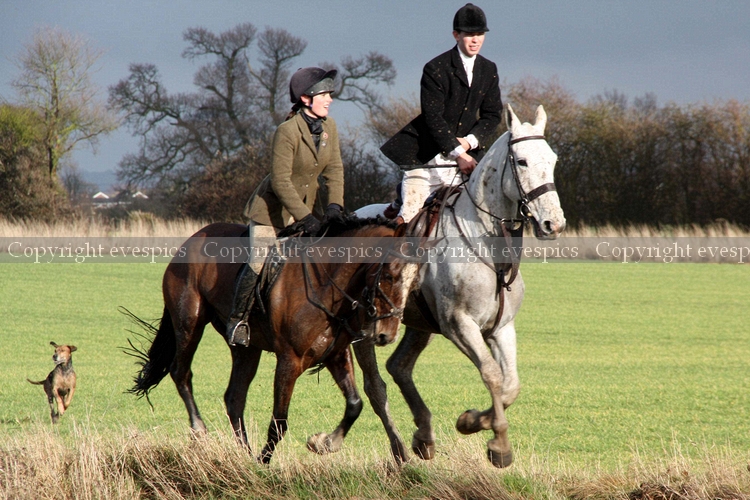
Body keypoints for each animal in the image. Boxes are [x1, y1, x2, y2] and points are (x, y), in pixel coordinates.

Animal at [125, 217, 416, 463]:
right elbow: (279, 422)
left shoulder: (336, 355)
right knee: (181, 372)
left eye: (413, 282)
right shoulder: (290, 360)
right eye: (389, 276)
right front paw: (264, 464)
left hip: (246, 348)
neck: (328, 284)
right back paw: (200, 430)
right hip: (189, 322)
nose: (386, 335)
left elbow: (355, 404)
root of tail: (190, 240)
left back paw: (243, 454)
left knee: (234, 397)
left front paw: (324, 442)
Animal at [350, 103, 566, 467]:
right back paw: (400, 449)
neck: (487, 245)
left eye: (551, 160)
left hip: (418, 324)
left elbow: (510, 385)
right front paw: (498, 445)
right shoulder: (460, 325)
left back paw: (423, 436)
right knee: (376, 387)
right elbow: (493, 375)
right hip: (366, 330)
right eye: (521, 161)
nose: (554, 223)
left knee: (399, 367)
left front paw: (473, 421)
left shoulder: (501, 328)